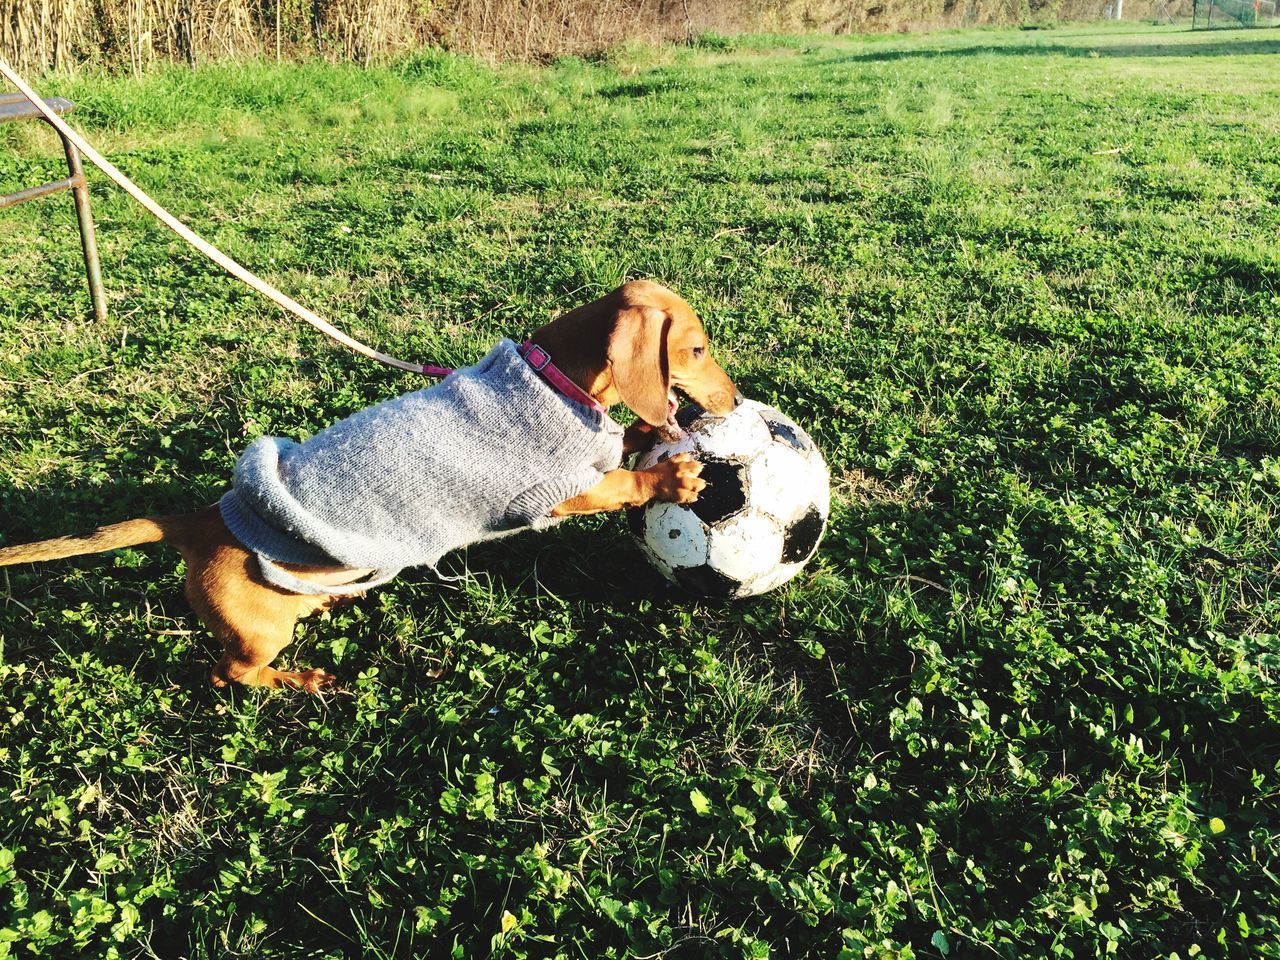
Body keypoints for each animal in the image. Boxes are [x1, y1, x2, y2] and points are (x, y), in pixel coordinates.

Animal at [0, 281, 742, 696]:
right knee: (231, 674)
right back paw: (300, 681)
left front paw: (646, 438)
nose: (734, 403)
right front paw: (671, 473)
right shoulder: (549, 492)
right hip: (257, 635)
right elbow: (617, 484)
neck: (551, 378)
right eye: (697, 350)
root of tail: (202, 521)